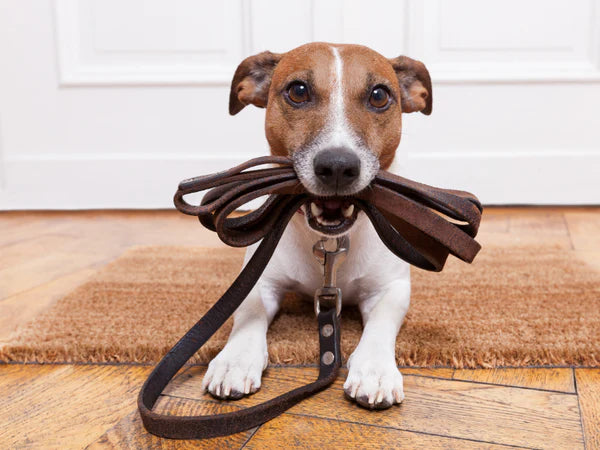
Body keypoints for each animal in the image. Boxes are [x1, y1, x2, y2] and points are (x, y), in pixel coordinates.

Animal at [202, 43, 432, 412]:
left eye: (379, 95)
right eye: (298, 91)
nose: (338, 166)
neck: (329, 241)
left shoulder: (391, 288)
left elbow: (382, 323)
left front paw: (375, 369)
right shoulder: (259, 281)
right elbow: (248, 311)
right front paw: (234, 359)